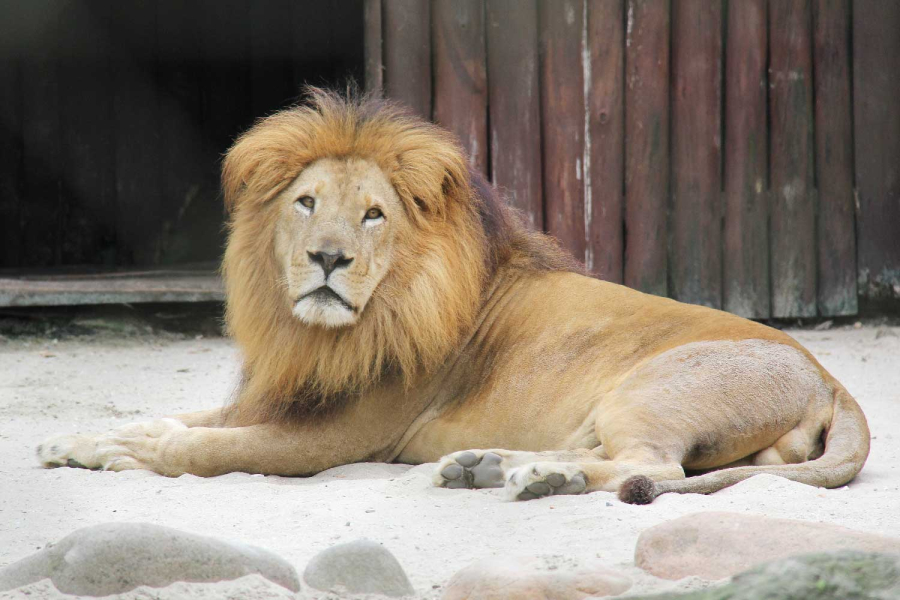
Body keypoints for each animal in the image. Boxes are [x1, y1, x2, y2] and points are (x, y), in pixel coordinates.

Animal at [37, 88, 872, 502]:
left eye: (374, 214)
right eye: (306, 202)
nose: (328, 259)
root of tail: (831, 380)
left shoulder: (334, 434)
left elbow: (201, 445)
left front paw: (127, 450)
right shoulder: (285, 396)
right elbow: (183, 419)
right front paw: (79, 439)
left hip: (646, 390)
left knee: (654, 469)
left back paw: (531, 478)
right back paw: (496, 466)